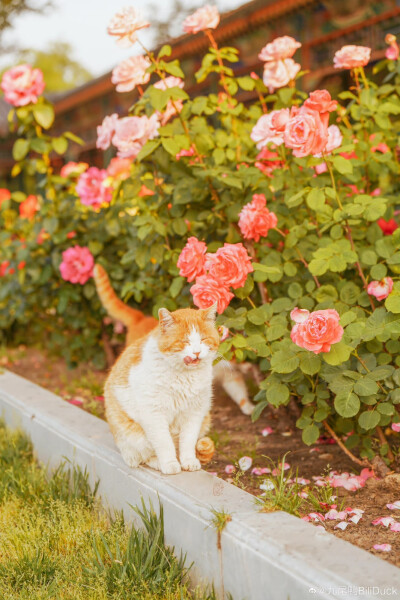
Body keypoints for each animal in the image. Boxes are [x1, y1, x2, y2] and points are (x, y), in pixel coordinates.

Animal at [104, 304, 219, 474]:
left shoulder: (194, 413)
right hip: (133, 435)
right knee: (142, 455)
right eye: (184, 341)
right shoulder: (154, 414)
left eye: (203, 339)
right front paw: (169, 464)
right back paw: (156, 462)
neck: (184, 376)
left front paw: (188, 461)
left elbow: (188, 441)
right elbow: (164, 442)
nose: (197, 352)